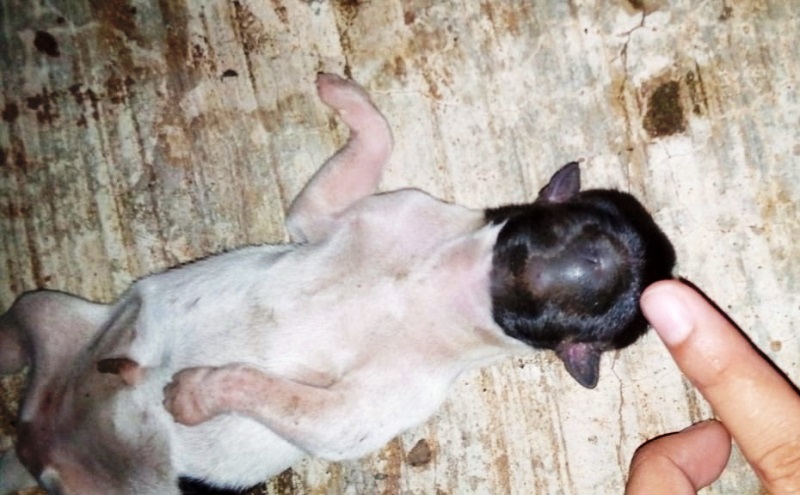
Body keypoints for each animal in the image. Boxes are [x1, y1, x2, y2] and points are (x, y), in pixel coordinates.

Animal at [0, 73, 676, 495]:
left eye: (603, 324)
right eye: (585, 222)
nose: (607, 261)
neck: (451, 286)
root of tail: (38, 447)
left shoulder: (345, 418)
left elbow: (257, 388)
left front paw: (196, 393)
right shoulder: (329, 215)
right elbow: (377, 136)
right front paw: (348, 99)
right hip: (42, 309)